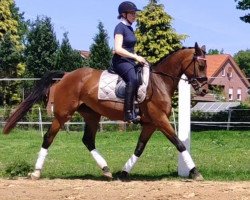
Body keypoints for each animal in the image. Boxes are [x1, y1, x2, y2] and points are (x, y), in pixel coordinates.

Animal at [2, 43, 208, 180]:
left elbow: (139, 148)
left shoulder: (150, 123)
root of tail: (67, 75)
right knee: (48, 138)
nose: (205, 89)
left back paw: (106, 170)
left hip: (92, 115)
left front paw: (123, 173)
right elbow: (179, 144)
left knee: (88, 140)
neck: (159, 83)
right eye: (201, 65)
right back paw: (36, 172)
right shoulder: (160, 120)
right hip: (62, 115)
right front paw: (195, 172)